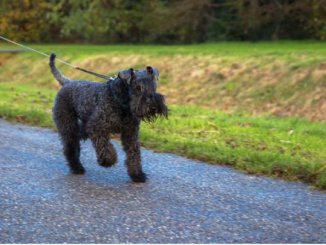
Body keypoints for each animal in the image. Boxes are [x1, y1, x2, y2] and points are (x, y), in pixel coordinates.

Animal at [51, 54, 168, 184]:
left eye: (154, 86)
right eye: (138, 87)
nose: (153, 106)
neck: (121, 101)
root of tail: (67, 83)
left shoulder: (130, 133)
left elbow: (134, 154)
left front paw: (137, 175)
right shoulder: (97, 128)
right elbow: (105, 146)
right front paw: (108, 161)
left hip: (83, 127)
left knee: (77, 137)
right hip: (68, 124)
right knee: (70, 146)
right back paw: (77, 168)